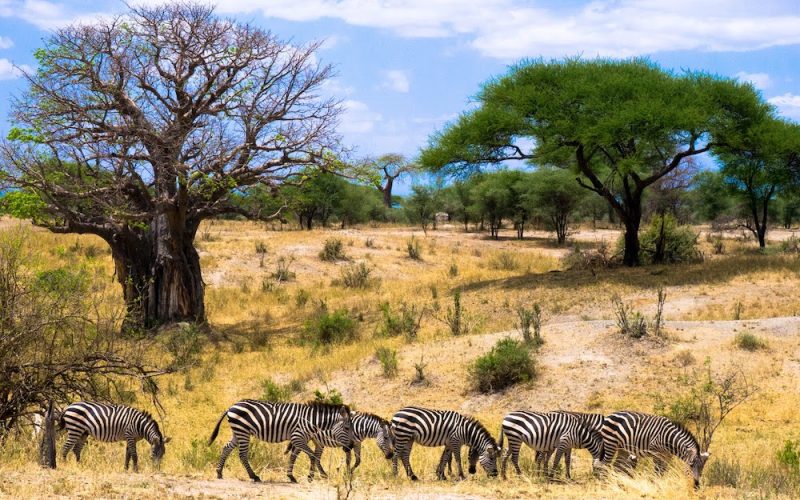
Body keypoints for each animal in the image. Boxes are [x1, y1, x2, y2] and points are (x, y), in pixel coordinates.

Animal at [208, 400, 355, 483]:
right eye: (347, 428)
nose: (351, 447)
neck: (311, 421)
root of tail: (231, 406)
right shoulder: (297, 437)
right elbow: (313, 455)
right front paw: (311, 476)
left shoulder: (299, 439)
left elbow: (293, 457)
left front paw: (291, 476)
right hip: (243, 432)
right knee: (242, 454)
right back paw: (254, 476)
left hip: (238, 432)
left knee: (226, 447)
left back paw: (219, 472)